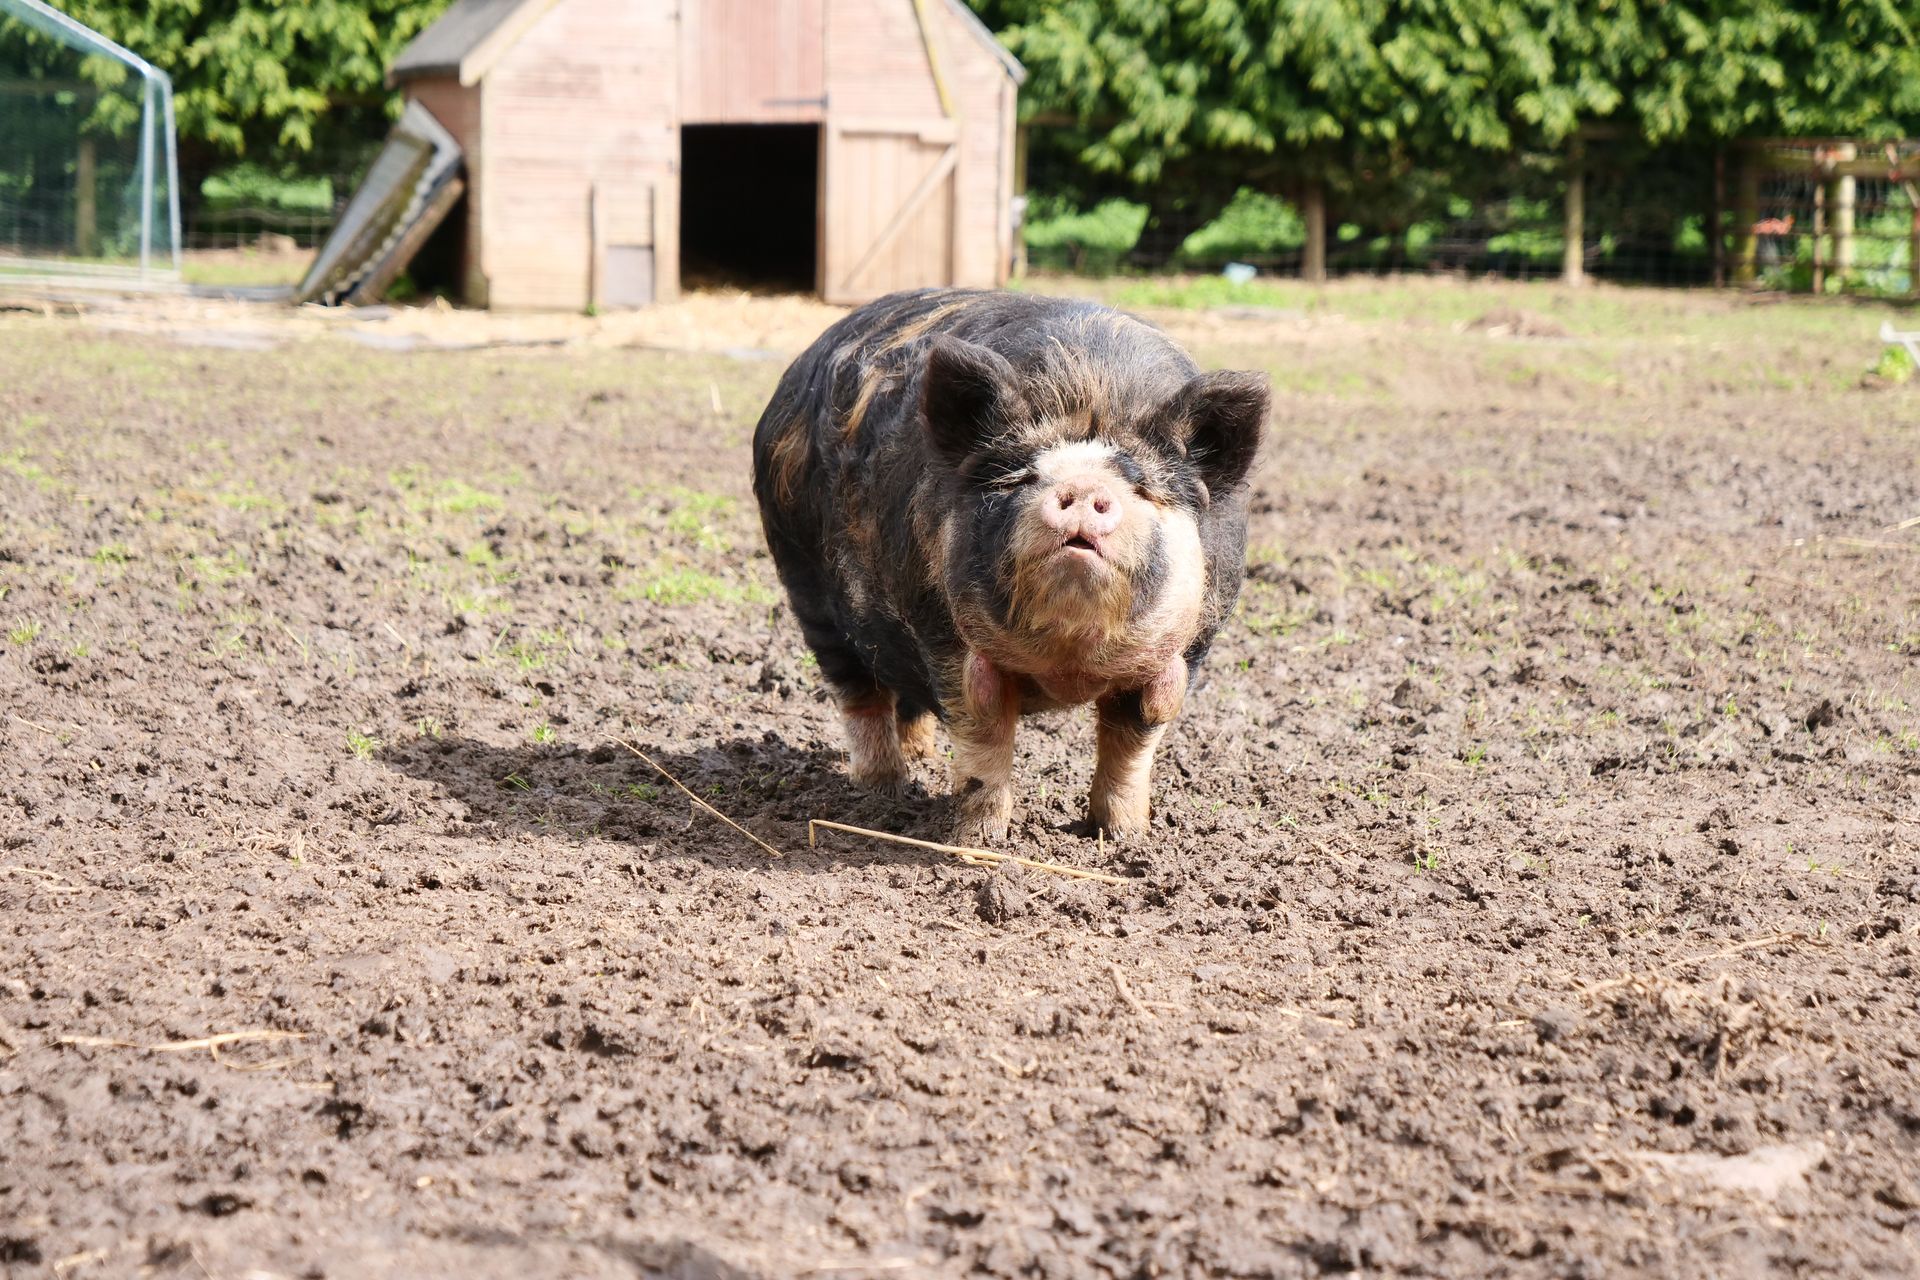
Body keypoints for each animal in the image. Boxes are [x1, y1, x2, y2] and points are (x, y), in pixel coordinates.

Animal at [752, 288, 1268, 844]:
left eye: (1142, 487)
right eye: (1022, 477)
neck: (1069, 660)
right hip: (804, 580)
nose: (1083, 488)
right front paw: (978, 842)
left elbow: (1133, 742)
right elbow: (984, 736)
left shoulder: (1187, 650)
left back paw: (918, 757)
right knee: (857, 692)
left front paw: (1125, 837)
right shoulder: (945, 637)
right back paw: (882, 791)